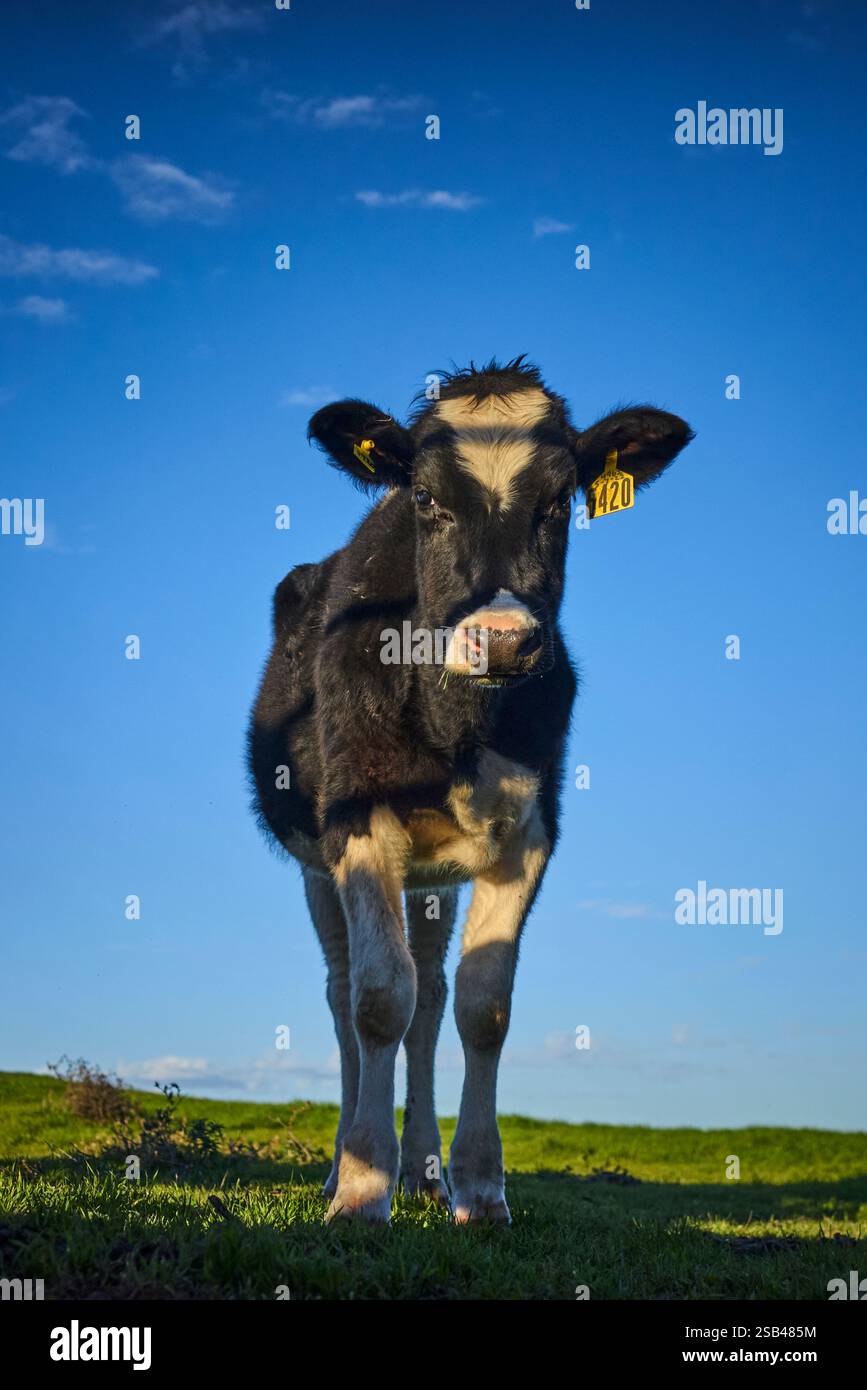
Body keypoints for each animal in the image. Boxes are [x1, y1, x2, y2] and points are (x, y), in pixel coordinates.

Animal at [248, 357, 692, 1224]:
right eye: (426, 499)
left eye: (559, 500)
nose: (501, 638)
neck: (452, 724)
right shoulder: (355, 824)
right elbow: (376, 999)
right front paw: (361, 1193)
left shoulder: (527, 834)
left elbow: (481, 1005)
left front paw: (480, 1189)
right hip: (316, 863)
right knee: (346, 994)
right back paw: (347, 1167)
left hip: (432, 878)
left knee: (428, 999)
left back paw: (422, 1171)